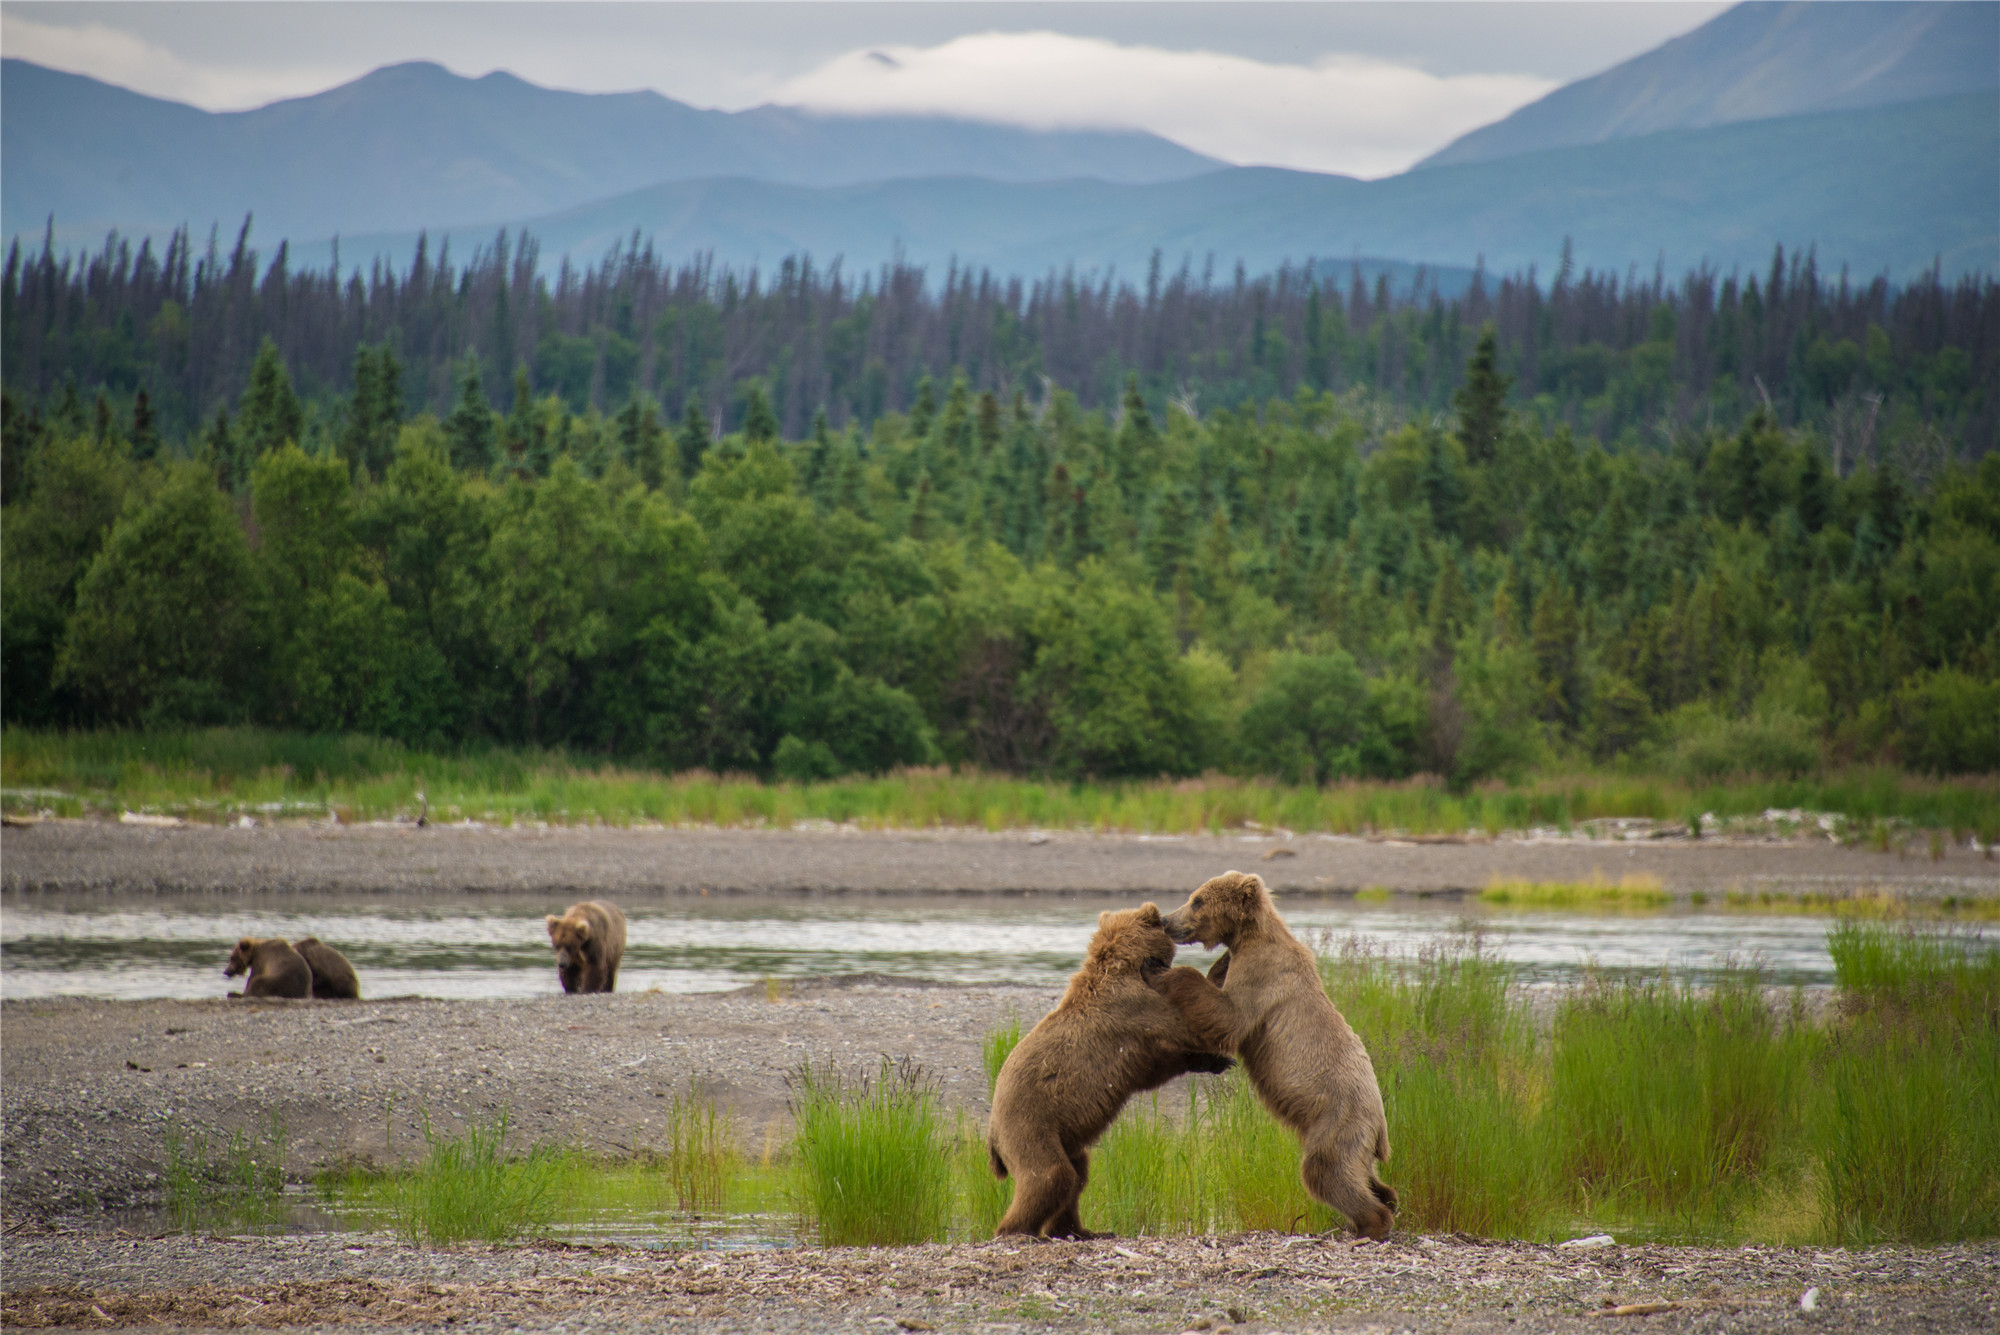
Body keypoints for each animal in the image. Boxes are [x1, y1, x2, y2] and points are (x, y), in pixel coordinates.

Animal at [984, 903, 1232, 1239]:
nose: (1167, 919)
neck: (1128, 966)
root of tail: (992, 1133)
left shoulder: (1135, 1046)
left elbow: (1160, 1065)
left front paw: (1215, 1061)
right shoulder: (1138, 1010)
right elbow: (1190, 1025)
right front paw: (1223, 964)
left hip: (1063, 1136)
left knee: (1078, 1173)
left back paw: (1081, 1230)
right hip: (1029, 1123)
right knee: (1050, 1176)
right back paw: (1018, 1230)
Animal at [1160, 871, 1392, 1239]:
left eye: (1197, 900)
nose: (1167, 921)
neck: (1248, 937)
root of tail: (1381, 1121)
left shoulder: (1263, 974)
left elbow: (1229, 1017)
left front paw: (1173, 973)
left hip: (1338, 1119)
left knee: (1325, 1170)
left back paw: (1369, 1224)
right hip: (1354, 1135)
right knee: (1363, 1173)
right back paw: (1385, 1200)